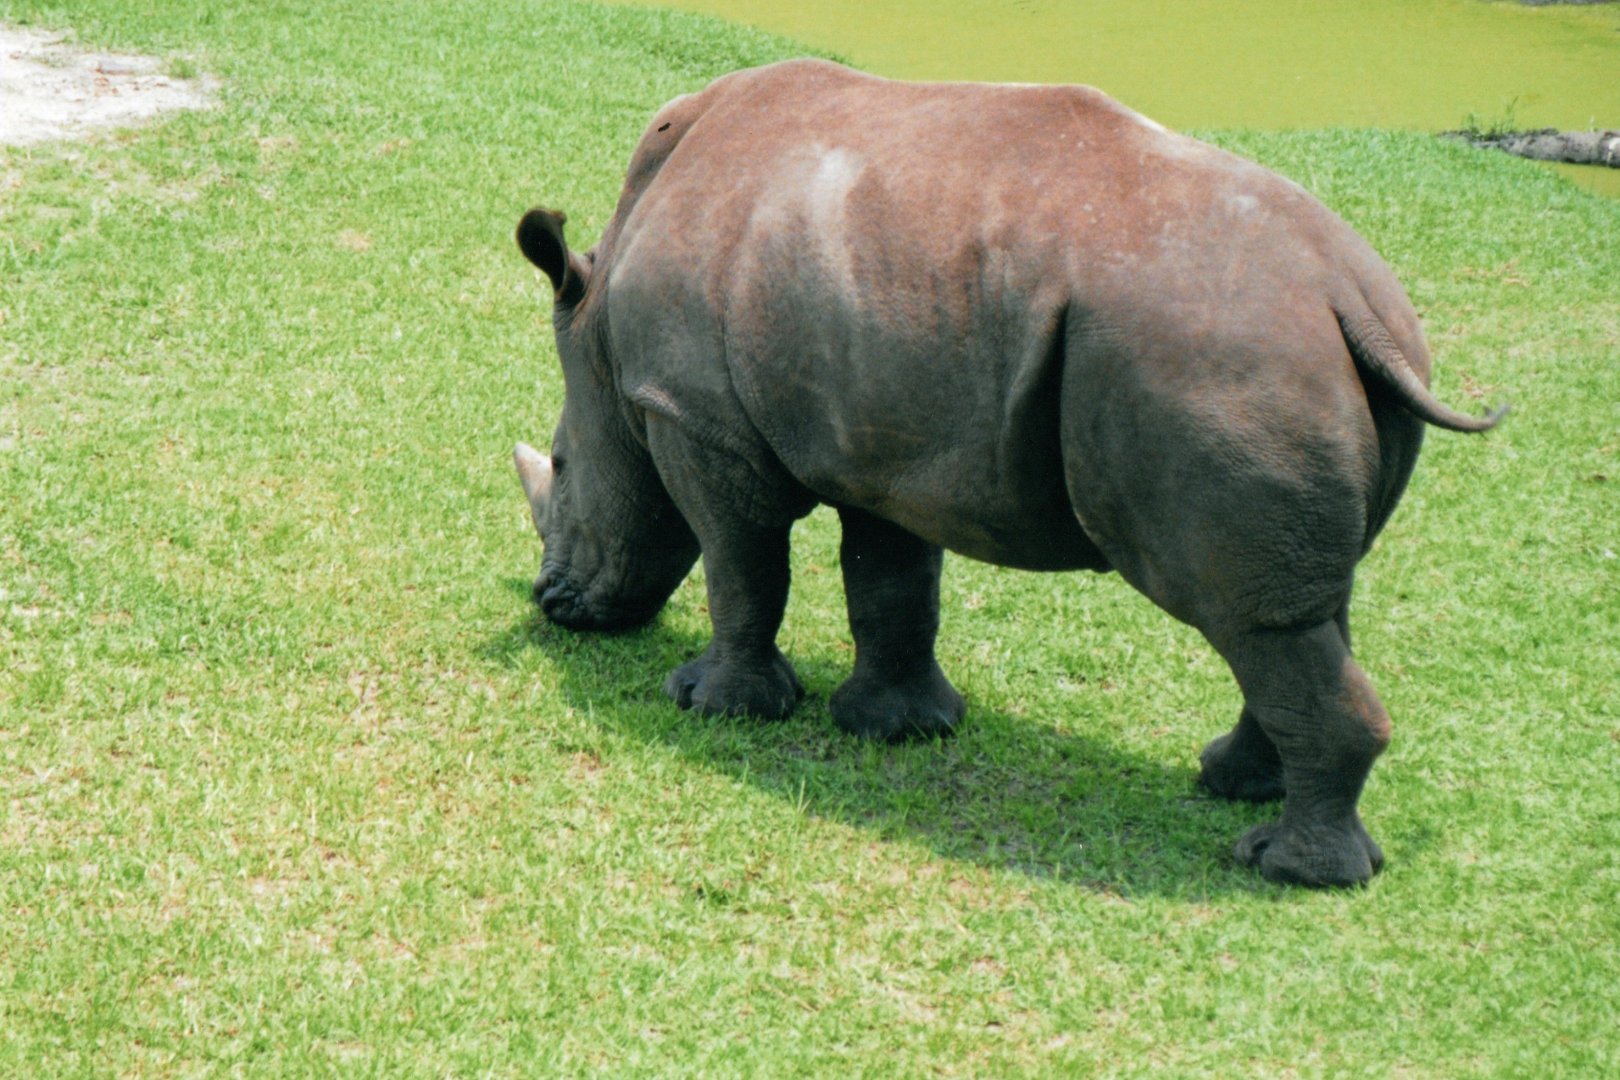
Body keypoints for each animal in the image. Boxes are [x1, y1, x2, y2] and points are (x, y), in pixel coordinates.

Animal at [511, 59, 1501, 887]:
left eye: (558, 464)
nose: (551, 602)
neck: (601, 329)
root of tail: (1347, 301)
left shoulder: (692, 417)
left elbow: (740, 562)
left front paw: (711, 706)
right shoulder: (883, 438)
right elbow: (892, 584)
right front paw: (902, 728)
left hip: (1219, 366)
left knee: (1248, 616)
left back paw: (1289, 870)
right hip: (1309, 363)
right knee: (1295, 612)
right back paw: (1234, 788)